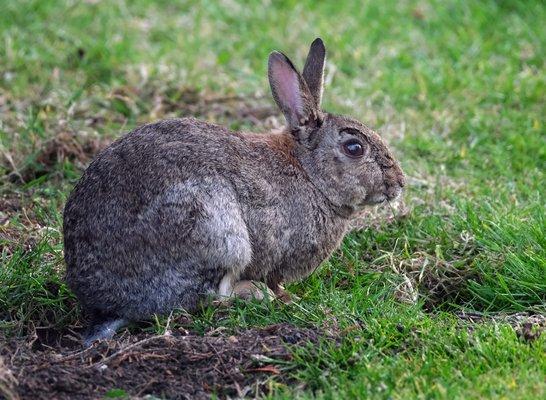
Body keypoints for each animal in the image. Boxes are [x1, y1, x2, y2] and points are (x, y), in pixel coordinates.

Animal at [65, 37, 404, 346]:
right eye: (354, 148)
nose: (399, 182)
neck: (310, 174)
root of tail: (108, 304)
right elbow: (274, 278)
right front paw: (285, 297)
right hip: (215, 230)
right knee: (208, 296)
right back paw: (255, 293)